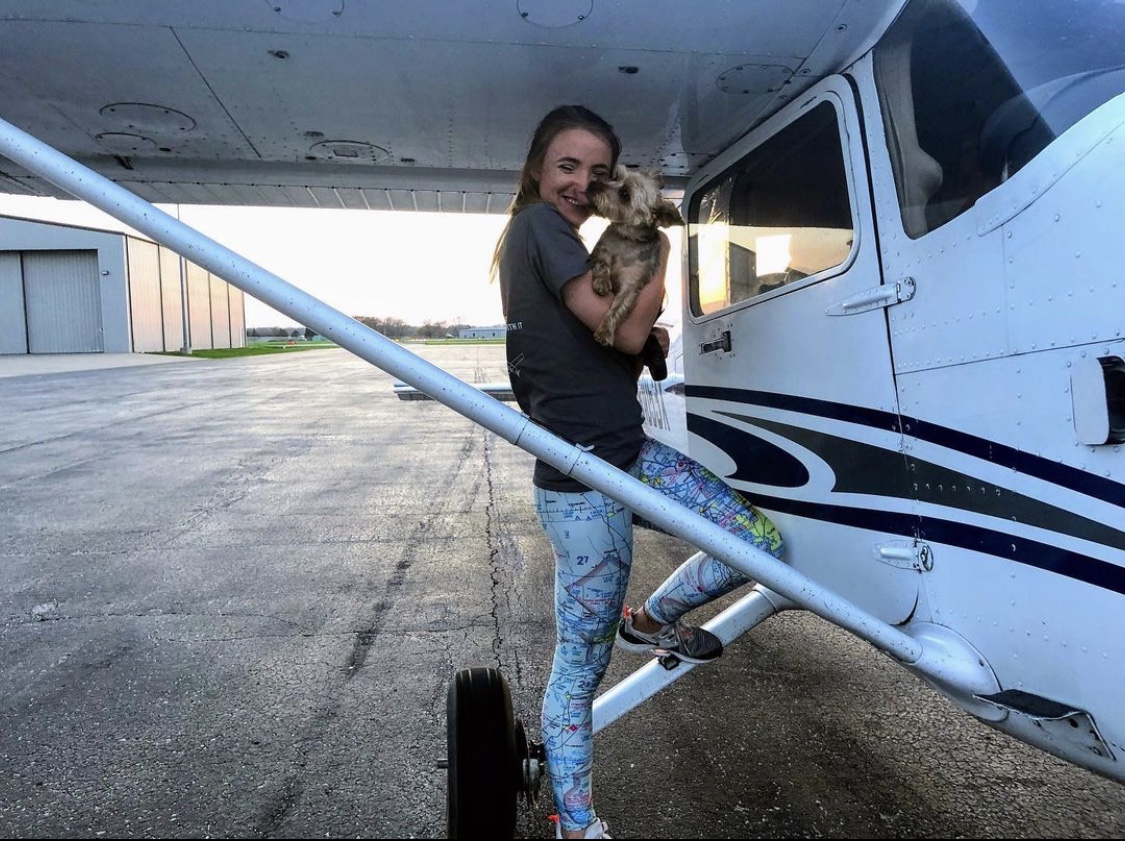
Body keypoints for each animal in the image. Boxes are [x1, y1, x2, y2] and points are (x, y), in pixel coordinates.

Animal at [589, 164, 684, 348]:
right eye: (615, 177)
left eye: (624, 194)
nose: (592, 185)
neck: (628, 239)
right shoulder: (602, 248)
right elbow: (602, 262)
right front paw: (602, 282)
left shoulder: (632, 284)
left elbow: (618, 308)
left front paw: (605, 331)